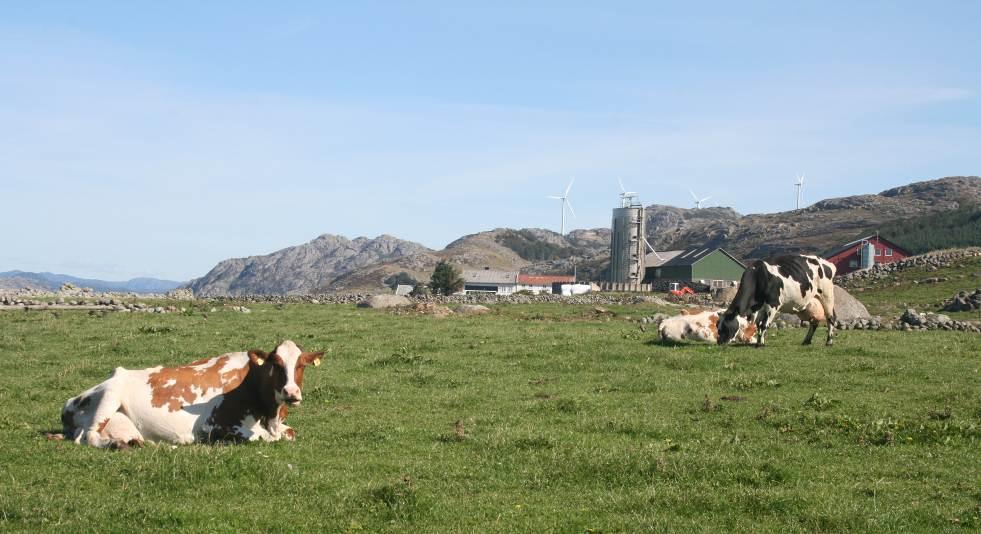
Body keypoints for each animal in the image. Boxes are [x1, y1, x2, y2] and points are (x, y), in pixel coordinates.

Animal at [59, 342, 324, 450]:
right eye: (276, 364)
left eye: (301, 365)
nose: (291, 393)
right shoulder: (217, 427)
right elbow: (264, 439)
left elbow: (290, 433)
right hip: (110, 395)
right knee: (90, 436)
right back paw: (114, 444)